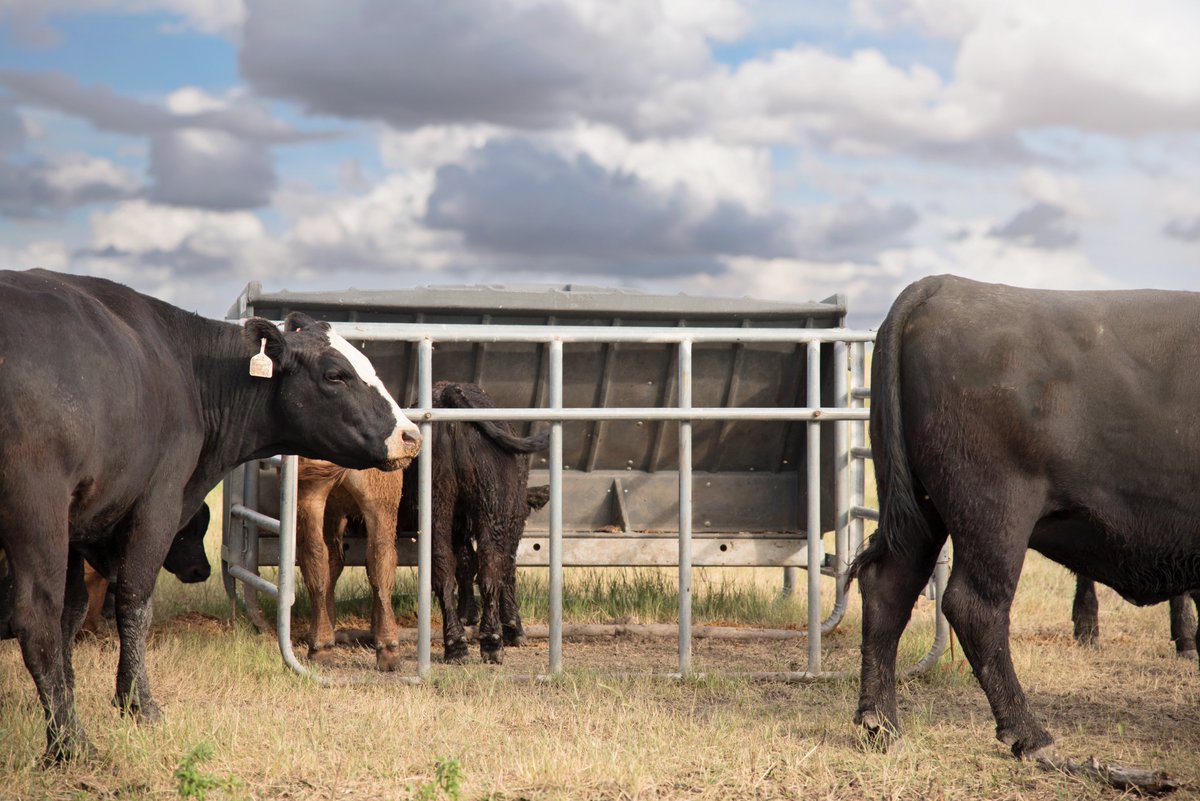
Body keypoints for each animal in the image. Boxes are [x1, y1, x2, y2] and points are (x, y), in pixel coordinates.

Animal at [295, 460, 408, 671]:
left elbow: (332, 563)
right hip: (382, 493)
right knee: (380, 556)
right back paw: (388, 649)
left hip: (311, 493)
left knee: (315, 553)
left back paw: (320, 647)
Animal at [400, 381, 549, 664]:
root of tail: (448, 392)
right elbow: (506, 570)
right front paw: (513, 627)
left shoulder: (457, 528)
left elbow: (465, 564)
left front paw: (468, 614)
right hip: (494, 511)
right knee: (492, 569)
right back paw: (492, 641)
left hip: (437, 510)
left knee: (444, 573)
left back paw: (456, 645)